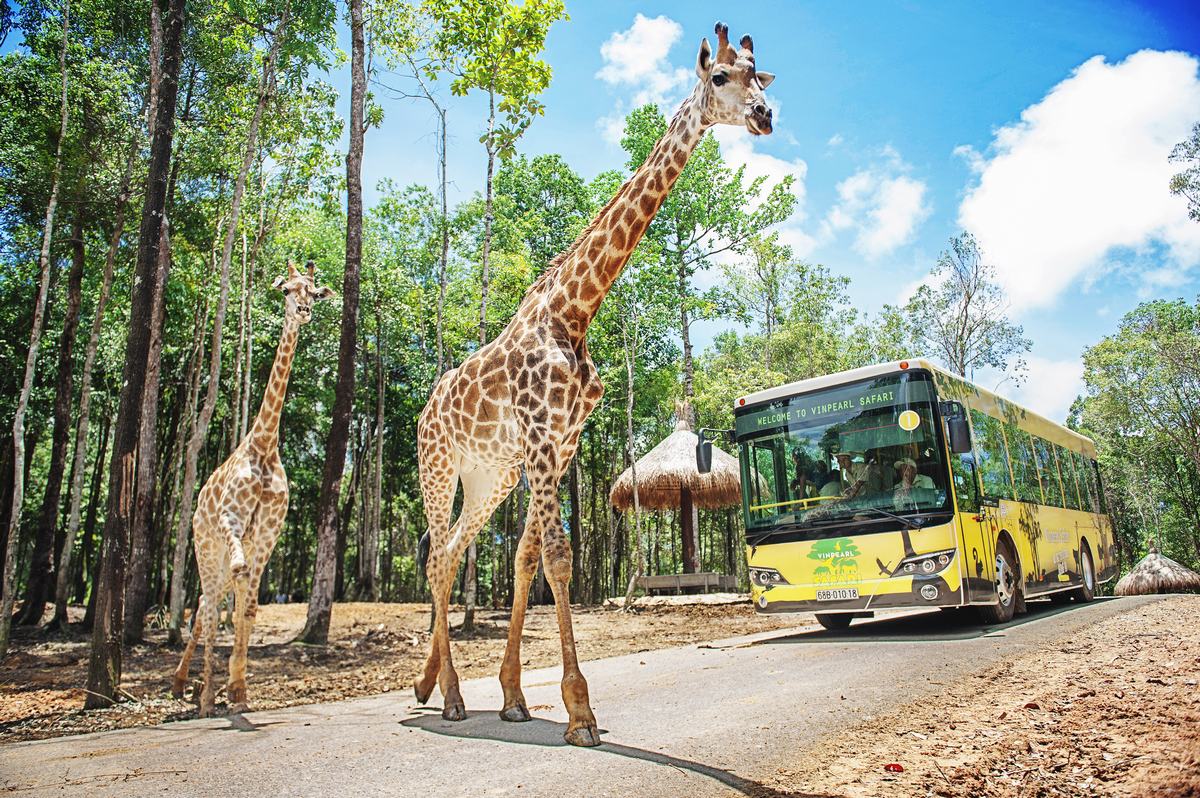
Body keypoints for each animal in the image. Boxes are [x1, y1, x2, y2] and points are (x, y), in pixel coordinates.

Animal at [171, 261, 336, 715]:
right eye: (286, 289)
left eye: (314, 291)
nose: (303, 311)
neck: (263, 445)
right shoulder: (232, 519)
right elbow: (233, 592)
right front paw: (216, 694)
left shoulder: (268, 532)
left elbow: (249, 608)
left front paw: (239, 690)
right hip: (203, 546)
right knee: (208, 607)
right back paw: (196, 692)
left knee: (211, 603)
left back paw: (190, 685)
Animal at [415, 24, 777, 748]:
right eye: (720, 77)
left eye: (762, 73)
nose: (765, 115)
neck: (574, 311)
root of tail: (421, 413)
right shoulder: (538, 434)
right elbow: (558, 557)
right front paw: (580, 711)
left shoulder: (559, 444)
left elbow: (527, 557)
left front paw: (516, 696)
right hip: (438, 469)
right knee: (438, 557)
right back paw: (449, 699)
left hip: (488, 477)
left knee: (454, 553)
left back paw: (431, 687)